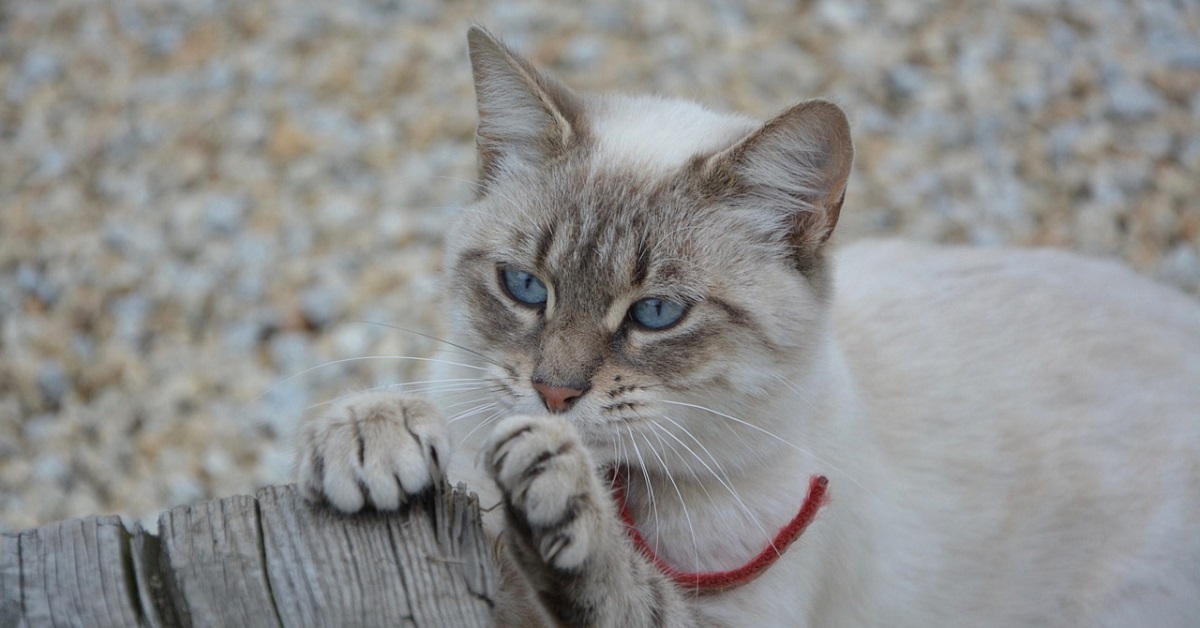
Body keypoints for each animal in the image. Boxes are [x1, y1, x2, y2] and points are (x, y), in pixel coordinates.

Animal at [292, 25, 1200, 628]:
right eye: (524, 288)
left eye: (657, 313)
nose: (551, 394)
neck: (629, 489)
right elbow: (439, 422)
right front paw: (371, 436)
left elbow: (609, 582)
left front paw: (557, 492)